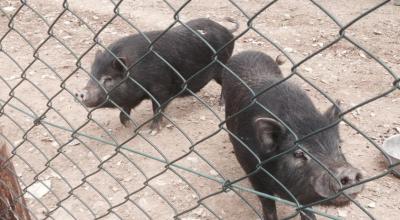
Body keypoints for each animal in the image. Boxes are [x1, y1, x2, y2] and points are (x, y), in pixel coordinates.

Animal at [76, 17, 236, 132]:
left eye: (108, 78)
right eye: (91, 75)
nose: (80, 93)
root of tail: (227, 31)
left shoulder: (162, 89)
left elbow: (157, 108)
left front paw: (152, 131)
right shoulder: (135, 94)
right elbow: (126, 107)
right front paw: (126, 124)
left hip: (221, 65)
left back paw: (221, 106)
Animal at [223, 50, 364, 219]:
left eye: (339, 146)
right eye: (298, 153)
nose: (348, 172)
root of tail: (246, 52)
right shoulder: (252, 170)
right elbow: (267, 204)